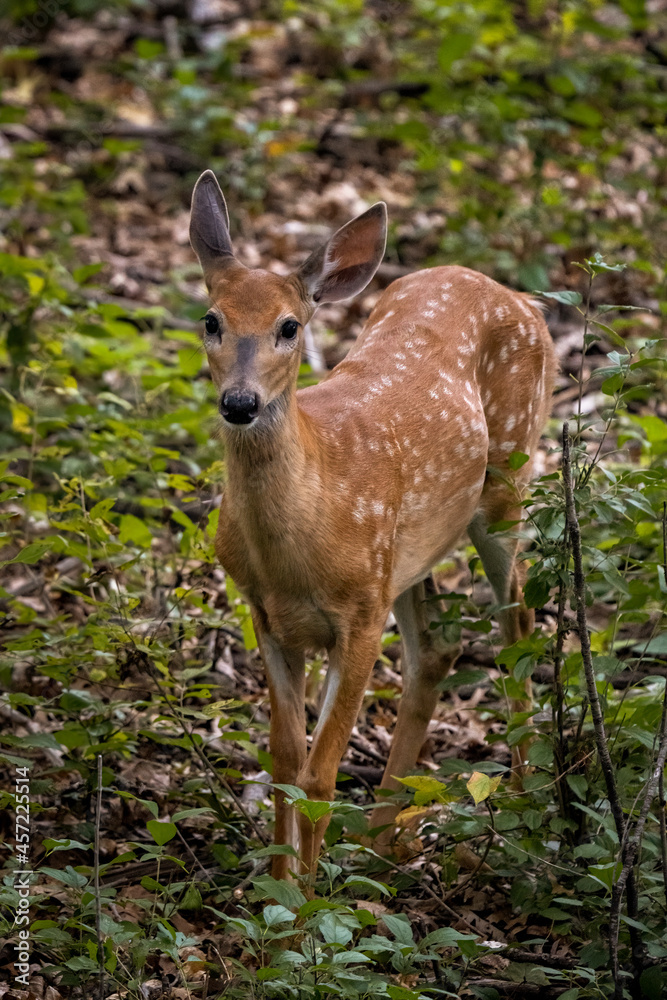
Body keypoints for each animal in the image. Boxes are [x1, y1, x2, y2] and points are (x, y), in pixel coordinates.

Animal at [189, 168, 560, 880]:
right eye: (211, 320)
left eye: (289, 326)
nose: (240, 402)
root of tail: (521, 297)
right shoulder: (266, 615)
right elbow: (285, 760)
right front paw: (275, 887)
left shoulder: (360, 615)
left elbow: (319, 773)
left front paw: (305, 903)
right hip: (409, 550)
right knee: (438, 648)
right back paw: (382, 840)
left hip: (508, 480)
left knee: (519, 626)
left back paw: (524, 809)